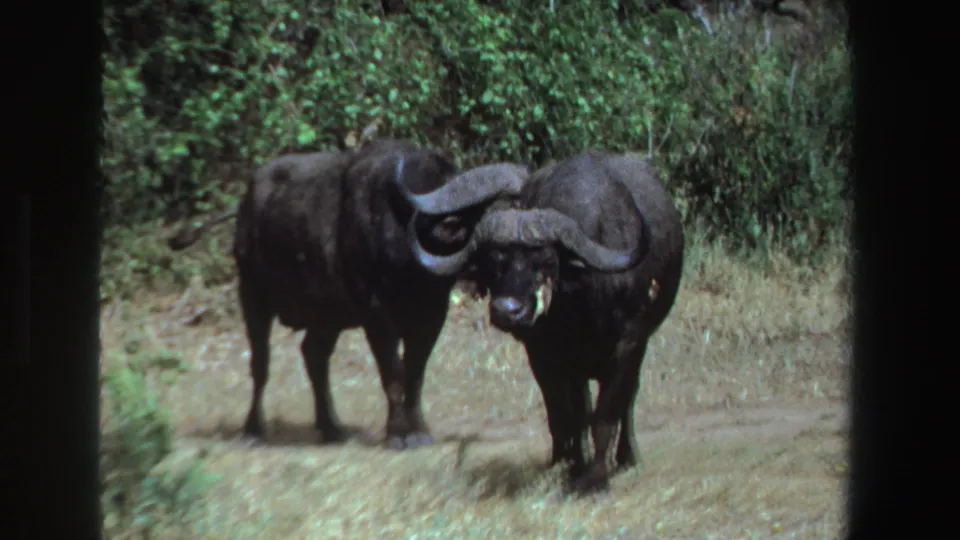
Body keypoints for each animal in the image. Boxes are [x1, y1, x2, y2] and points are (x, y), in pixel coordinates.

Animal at [168, 137, 529, 450]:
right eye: (496, 212)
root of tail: (245, 207)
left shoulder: (431, 314)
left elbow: (415, 373)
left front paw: (419, 430)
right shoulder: (376, 314)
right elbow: (393, 374)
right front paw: (398, 435)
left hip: (327, 316)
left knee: (313, 355)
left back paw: (331, 427)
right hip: (253, 296)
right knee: (261, 363)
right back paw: (254, 430)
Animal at [396, 151, 685, 493]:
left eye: (545, 261)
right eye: (495, 260)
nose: (507, 310)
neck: (581, 306)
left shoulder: (628, 346)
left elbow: (606, 415)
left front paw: (596, 478)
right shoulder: (545, 355)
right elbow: (566, 416)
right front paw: (571, 467)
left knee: (626, 400)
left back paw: (627, 456)